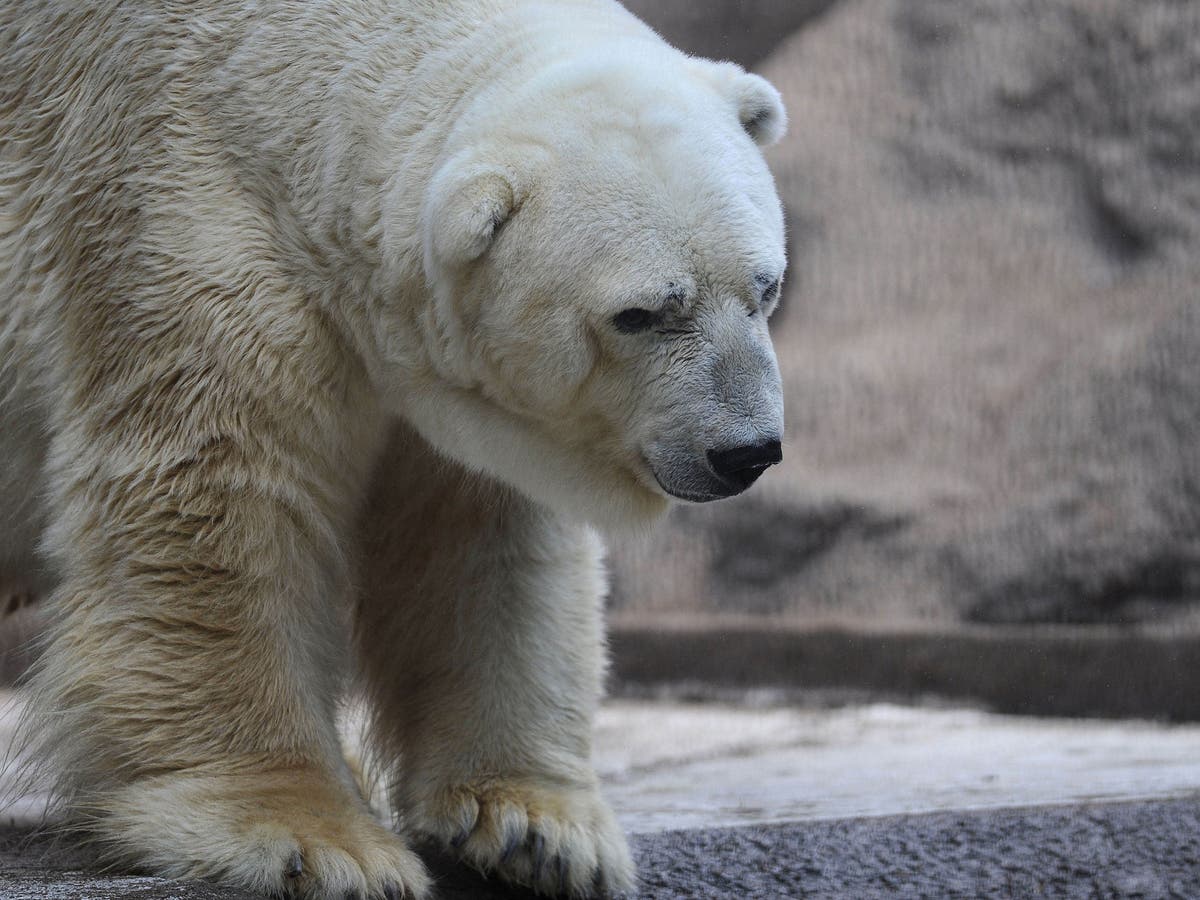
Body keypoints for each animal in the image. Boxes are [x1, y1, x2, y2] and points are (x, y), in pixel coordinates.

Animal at [0, 0, 787, 897]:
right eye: (640, 313)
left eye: (764, 287)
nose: (746, 452)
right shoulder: (179, 220)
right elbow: (219, 500)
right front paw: (313, 838)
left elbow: (481, 539)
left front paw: (536, 828)